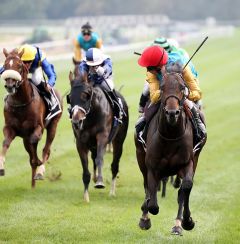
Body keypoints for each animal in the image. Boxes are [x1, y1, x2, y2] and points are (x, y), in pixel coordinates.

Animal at [0, 48, 62, 188]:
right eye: (5, 66)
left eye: (19, 66)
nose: (10, 85)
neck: (21, 103)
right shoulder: (10, 128)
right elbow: (5, 143)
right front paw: (1, 167)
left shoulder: (38, 127)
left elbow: (35, 143)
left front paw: (38, 164)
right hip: (24, 137)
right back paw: (33, 183)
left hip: (53, 125)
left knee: (46, 149)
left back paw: (39, 171)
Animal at [68, 71, 128, 203]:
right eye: (69, 98)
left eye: (85, 95)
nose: (76, 121)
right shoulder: (81, 142)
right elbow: (86, 167)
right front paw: (86, 196)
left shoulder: (102, 136)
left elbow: (99, 159)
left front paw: (100, 182)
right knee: (94, 157)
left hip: (118, 141)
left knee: (114, 165)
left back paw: (112, 192)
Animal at [135, 66, 206, 235]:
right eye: (162, 87)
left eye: (182, 87)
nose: (172, 113)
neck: (170, 135)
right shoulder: (152, 167)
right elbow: (152, 203)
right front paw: (145, 216)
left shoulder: (187, 163)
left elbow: (186, 187)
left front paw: (187, 221)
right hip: (140, 156)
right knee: (146, 186)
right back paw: (145, 216)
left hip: (196, 157)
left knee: (182, 190)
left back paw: (178, 225)